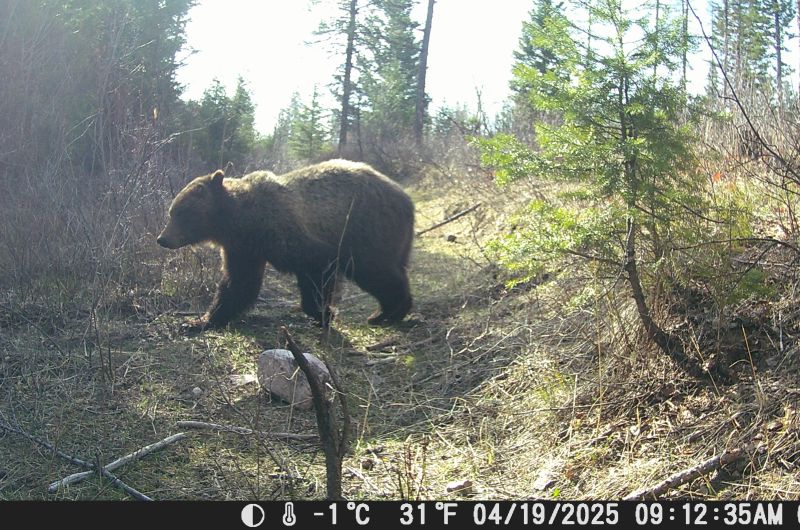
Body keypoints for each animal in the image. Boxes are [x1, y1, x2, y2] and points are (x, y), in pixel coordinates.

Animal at [157, 159, 414, 330]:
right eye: (172, 212)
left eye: (181, 213)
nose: (162, 239)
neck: (241, 221)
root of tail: (405, 198)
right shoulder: (243, 248)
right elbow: (238, 284)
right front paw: (199, 320)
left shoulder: (291, 234)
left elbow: (317, 269)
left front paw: (324, 312)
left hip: (366, 227)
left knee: (374, 270)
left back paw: (387, 311)